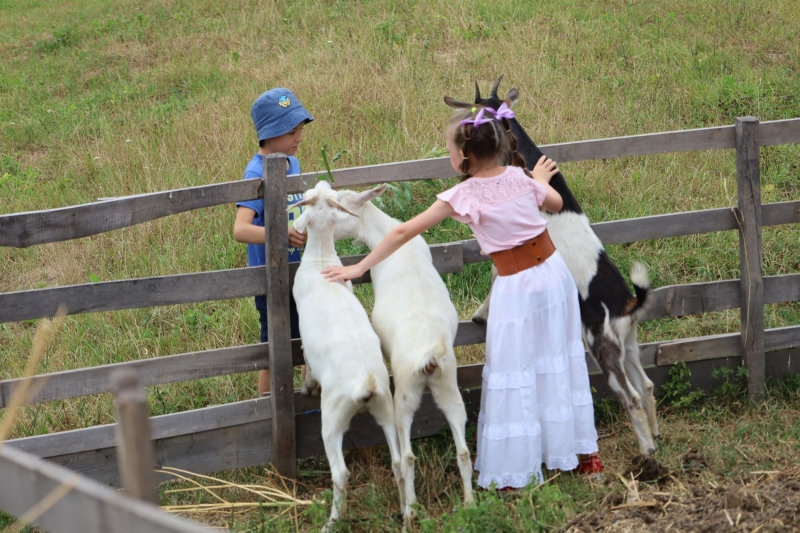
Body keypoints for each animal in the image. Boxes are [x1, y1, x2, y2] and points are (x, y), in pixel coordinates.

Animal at [290, 181, 406, 528]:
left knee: (341, 472)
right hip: (386, 408)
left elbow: (305, 358)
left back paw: (331, 522)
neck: (319, 259)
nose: (322, 182)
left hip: (332, 419)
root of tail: (367, 383)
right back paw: (407, 511)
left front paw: (306, 386)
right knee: (399, 461)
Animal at [332, 186, 472, 524]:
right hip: (449, 385)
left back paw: (409, 510)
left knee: (407, 455)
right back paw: (470, 504)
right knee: (462, 449)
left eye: (340, 208)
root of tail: (430, 353)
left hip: (405, 392)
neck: (384, 232)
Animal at [444, 77, 656, 456]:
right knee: (646, 384)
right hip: (628, 342)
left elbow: (497, 271)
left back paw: (646, 450)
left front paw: (480, 315)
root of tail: (629, 304)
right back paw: (656, 435)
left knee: (630, 395)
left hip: (602, 344)